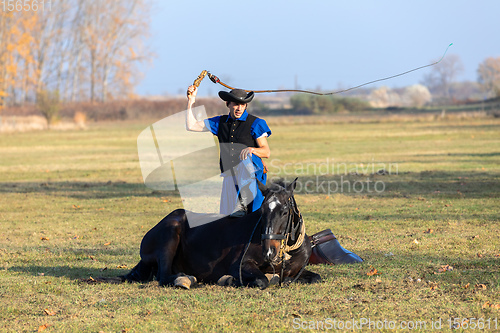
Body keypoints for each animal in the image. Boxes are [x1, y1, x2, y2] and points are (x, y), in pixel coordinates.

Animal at [118, 178, 320, 290]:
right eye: (262, 211)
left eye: (284, 212)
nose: (269, 252)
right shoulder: (240, 265)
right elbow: (261, 280)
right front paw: (229, 280)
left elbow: (315, 277)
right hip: (170, 234)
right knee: (163, 277)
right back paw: (184, 279)